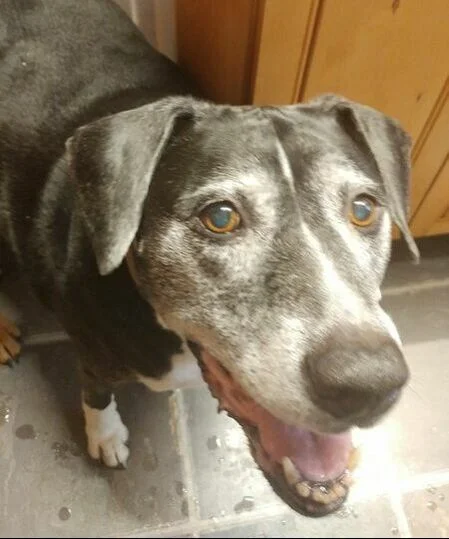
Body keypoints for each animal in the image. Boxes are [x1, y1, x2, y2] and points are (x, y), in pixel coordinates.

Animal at [0, 0, 419, 517]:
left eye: (363, 208)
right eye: (220, 217)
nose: (369, 383)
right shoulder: (92, 352)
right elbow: (95, 392)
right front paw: (106, 436)